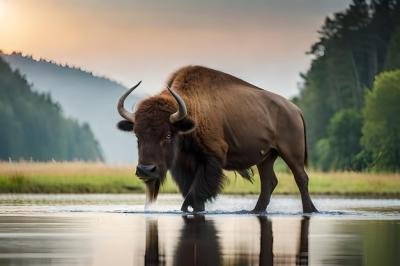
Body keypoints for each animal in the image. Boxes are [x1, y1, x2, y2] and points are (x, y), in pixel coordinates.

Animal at [117, 65, 318, 213]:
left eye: (167, 134)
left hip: (291, 154)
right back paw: (256, 211)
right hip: (266, 157)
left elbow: (195, 193)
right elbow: (192, 193)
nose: (145, 170)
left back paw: (310, 210)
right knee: (269, 182)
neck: (192, 112)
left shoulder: (211, 159)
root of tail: (295, 110)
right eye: (137, 135)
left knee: (301, 178)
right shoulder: (184, 165)